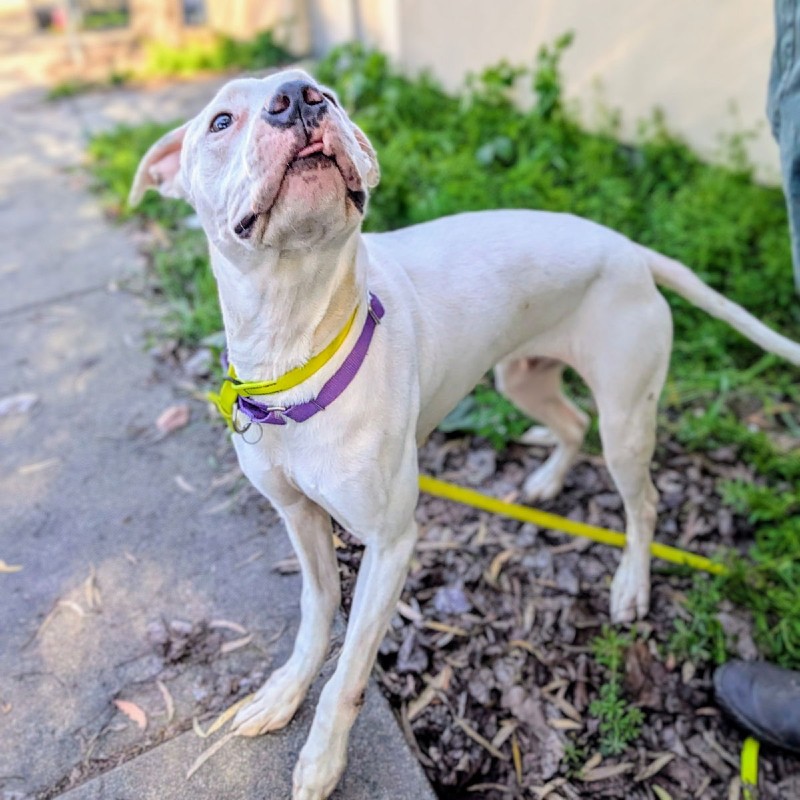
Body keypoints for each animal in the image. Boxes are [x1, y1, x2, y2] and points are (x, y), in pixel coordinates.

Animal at [130, 68, 800, 799]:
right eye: (221, 122)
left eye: (327, 95)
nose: (299, 95)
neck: (297, 345)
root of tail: (629, 248)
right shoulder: (298, 517)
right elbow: (315, 613)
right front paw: (283, 693)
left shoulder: (391, 544)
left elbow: (349, 672)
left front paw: (322, 760)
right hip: (522, 379)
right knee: (571, 425)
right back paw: (545, 481)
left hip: (627, 418)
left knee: (642, 500)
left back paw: (631, 585)